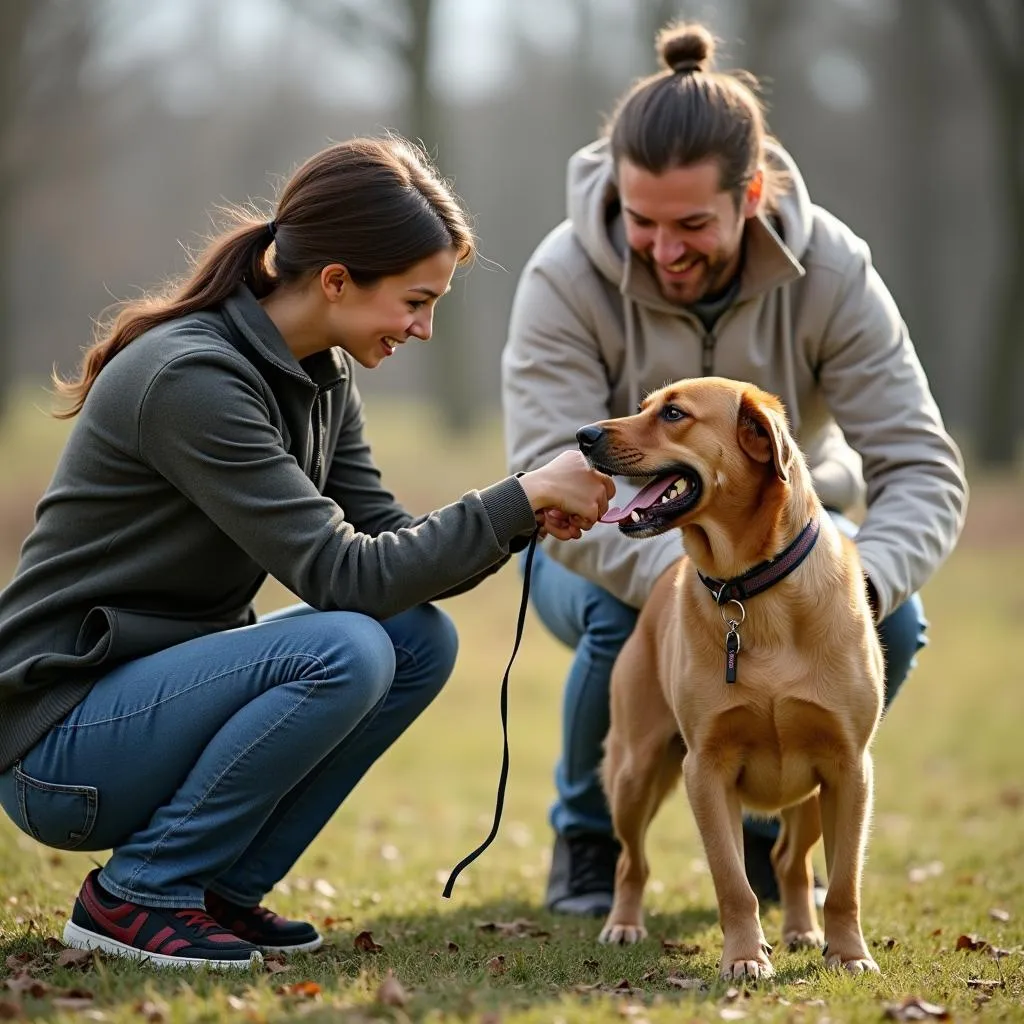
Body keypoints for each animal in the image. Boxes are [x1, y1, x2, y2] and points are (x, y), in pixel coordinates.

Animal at [581, 374, 884, 974]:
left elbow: (844, 884)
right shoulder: (707, 769)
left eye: (673, 414)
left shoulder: (849, 769)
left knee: (790, 861)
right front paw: (745, 957)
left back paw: (802, 930)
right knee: (632, 863)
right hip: (633, 773)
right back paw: (624, 924)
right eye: (644, 406)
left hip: (810, 797)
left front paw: (849, 953)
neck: (751, 586)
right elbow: (732, 882)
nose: (583, 435)